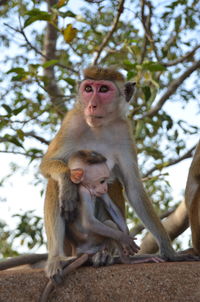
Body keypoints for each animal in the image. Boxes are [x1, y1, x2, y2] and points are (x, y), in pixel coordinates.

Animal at [40, 66, 192, 280]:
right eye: (88, 89)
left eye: (104, 89)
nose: (92, 105)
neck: (98, 127)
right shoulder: (72, 121)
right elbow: (47, 165)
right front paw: (67, 185)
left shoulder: (124, 131)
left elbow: (132, 187)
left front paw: (170, 252)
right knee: (55, 183)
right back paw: (56, 258)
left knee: (113, 185)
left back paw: (105, 255)